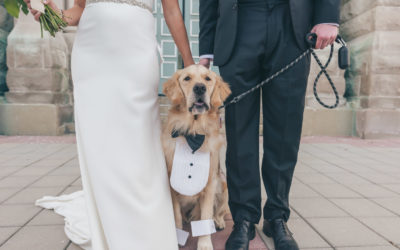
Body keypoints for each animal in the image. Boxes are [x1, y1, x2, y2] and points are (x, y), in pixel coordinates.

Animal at [162, 65, 231, 250]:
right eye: (187, 78)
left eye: (208, 79)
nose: (200, 88)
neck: (193, 132)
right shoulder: (171, 184)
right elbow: (177, 216)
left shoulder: (209, 184)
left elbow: (206, 216)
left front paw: (205, 244)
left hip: (223, 184)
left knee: (218, 212)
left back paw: (219, 221)